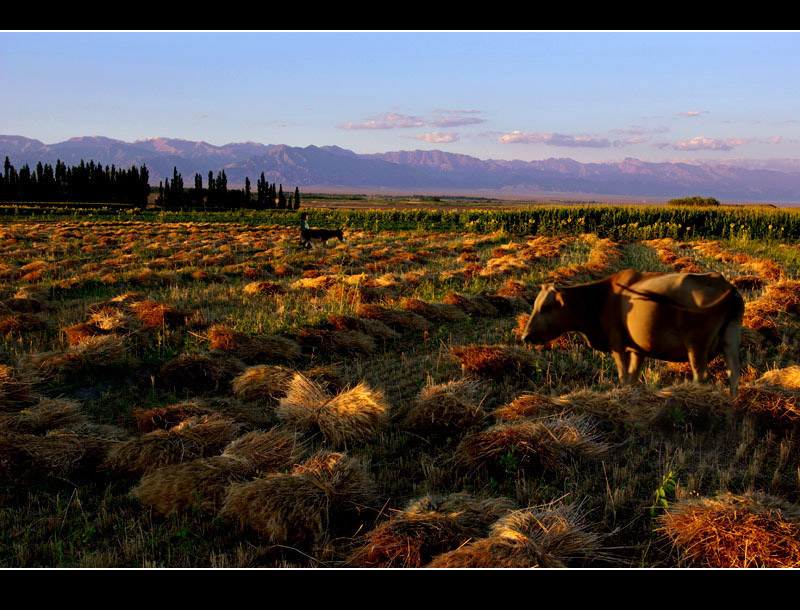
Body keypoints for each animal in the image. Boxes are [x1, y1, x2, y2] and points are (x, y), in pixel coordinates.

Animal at [520, 270, 748, 394]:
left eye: (546, 307)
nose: (525, 336)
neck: (602, 297)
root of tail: (727, 287)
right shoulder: (639, 349)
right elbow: (634, 376)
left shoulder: (617, 343)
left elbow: (624, 376)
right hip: (730, 340)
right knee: (734, 373)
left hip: (696, 346)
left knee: (701, 376)